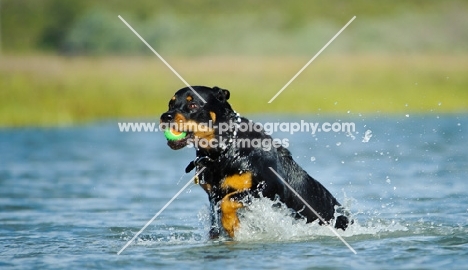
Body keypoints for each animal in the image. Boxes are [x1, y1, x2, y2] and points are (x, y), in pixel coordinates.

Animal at [160, 85, 348, 237]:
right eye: (170, 104)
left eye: (193, 105)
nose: (165, 116)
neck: (224, 151)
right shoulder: (212, 196)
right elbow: (217, 218)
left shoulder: (269, 187)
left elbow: (228, 200)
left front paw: (231, 225)